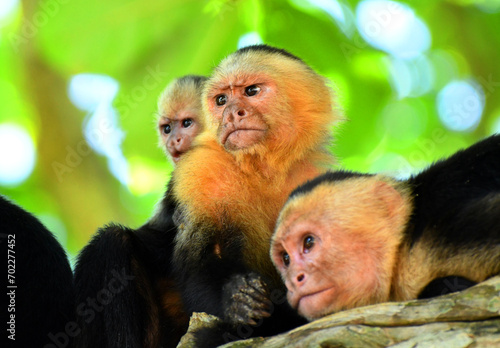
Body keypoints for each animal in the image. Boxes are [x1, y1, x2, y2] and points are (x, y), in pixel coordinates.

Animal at [171, 44, 340, 344]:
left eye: (251, 91)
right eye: (222, 99)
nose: (231, 114)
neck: (261, 168)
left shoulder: (312, 176)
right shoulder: (199, 170)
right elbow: (196, 264)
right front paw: (237, 298)